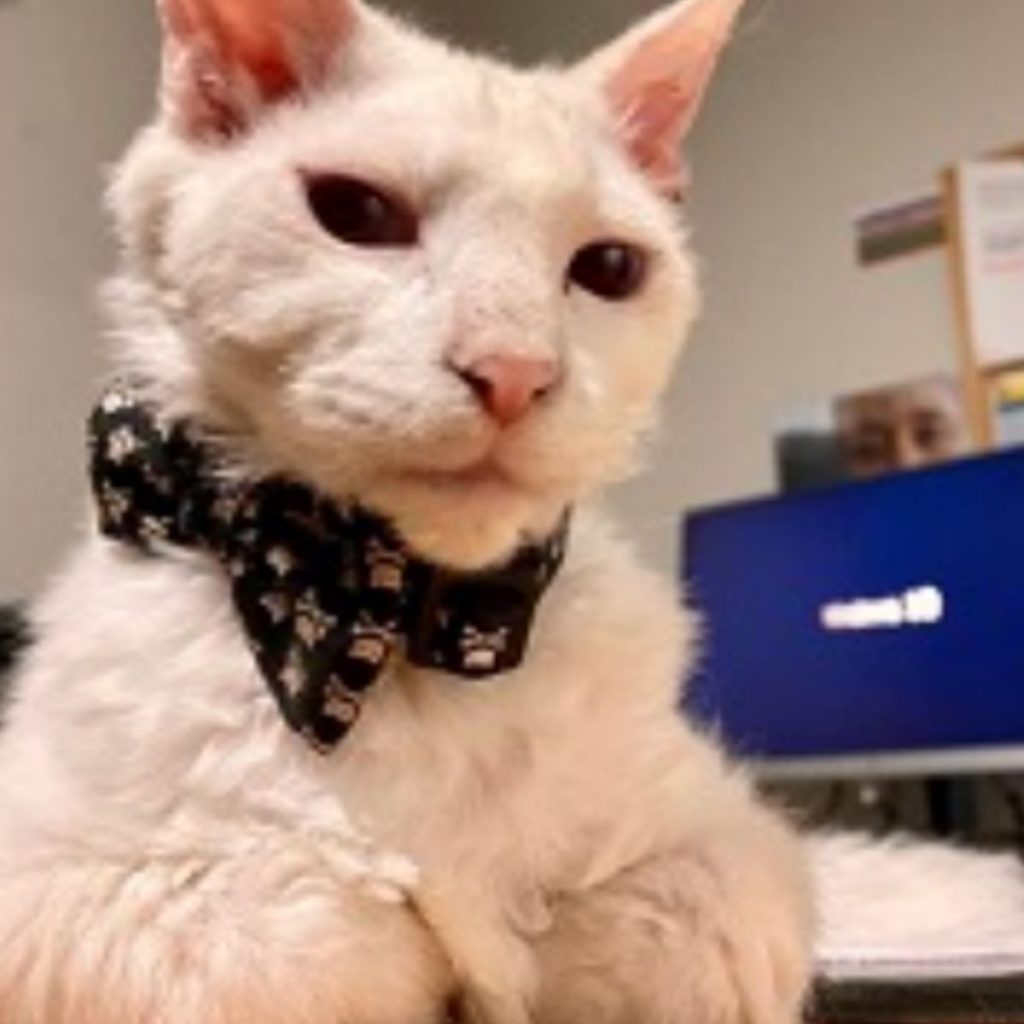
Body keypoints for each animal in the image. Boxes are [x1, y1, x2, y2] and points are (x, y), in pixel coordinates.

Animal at [0, 2, 815, 1024]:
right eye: (356, 214)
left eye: (610, 267)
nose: (515, 371)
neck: (395, 615)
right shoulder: (70, 888)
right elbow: (319, 928)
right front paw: (435, 932)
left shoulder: (731, 842)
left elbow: (647, 934)